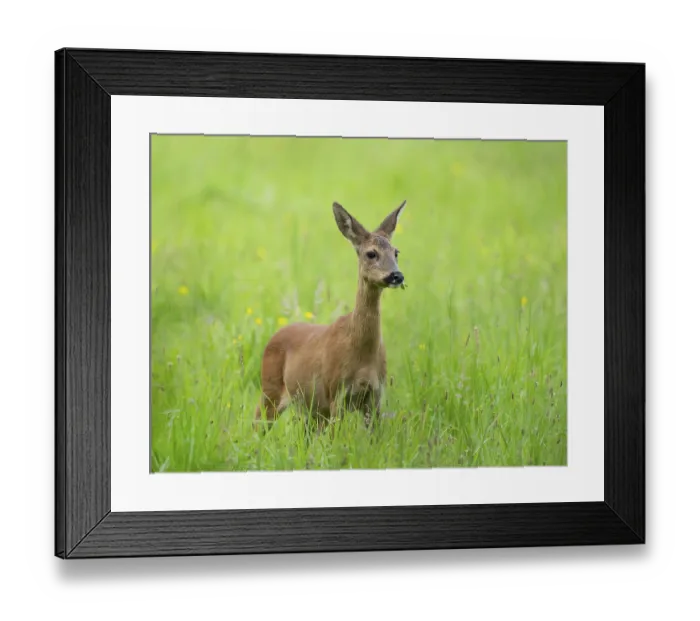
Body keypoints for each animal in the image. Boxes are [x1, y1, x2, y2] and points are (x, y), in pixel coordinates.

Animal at [254, 200, 407, 430]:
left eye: (396, 252)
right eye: (371, 253)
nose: (396, 275)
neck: (362, 354)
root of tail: (274, 336)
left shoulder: (376, 396)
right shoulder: (336, 392)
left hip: (313, 410)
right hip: (270, 390)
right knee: (255, 423)